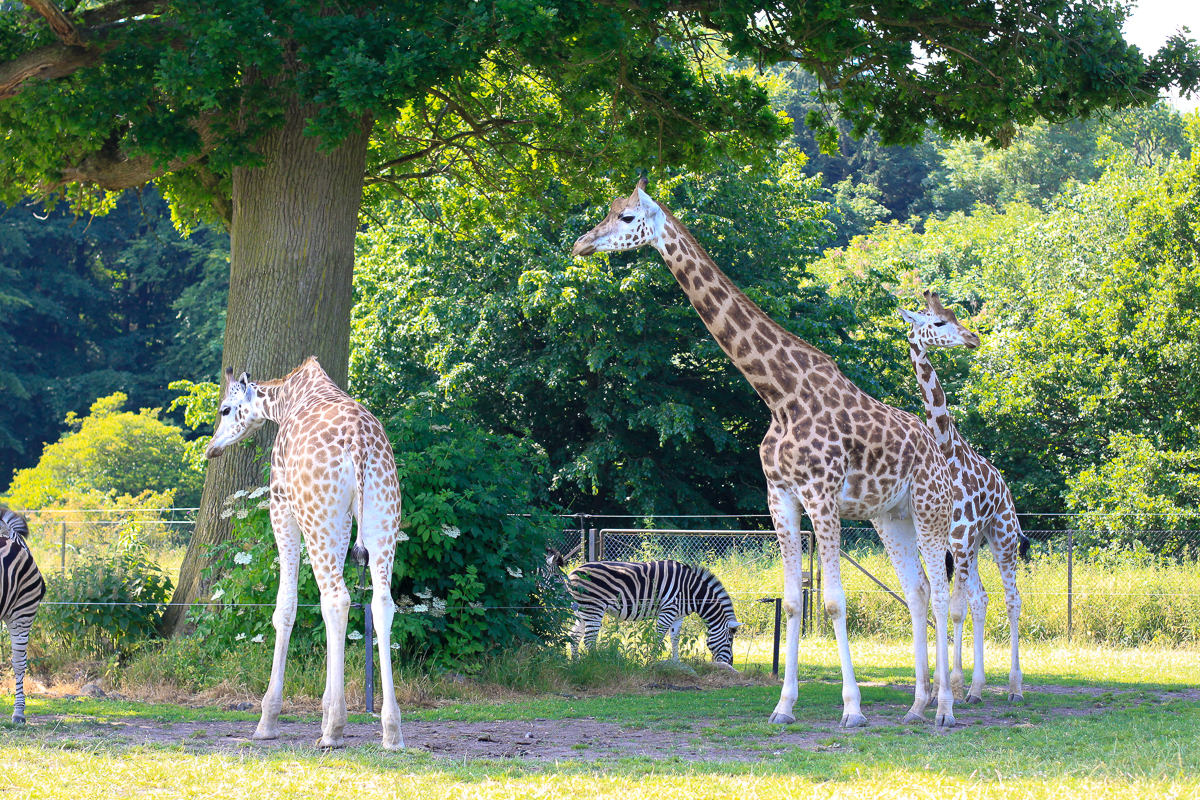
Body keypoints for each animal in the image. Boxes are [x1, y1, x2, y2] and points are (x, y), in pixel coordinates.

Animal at [206, 357, 408, 753]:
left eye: (225, 409)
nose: (212, 448)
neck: (286, 397)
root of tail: (359, 444)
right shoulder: (341, 523)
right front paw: (326, 709)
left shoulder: (280, 505)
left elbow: (285, 607)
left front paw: (268, 720)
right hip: (379, 516)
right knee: (379, 602)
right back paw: (391, 731)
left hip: (318, 517)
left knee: (338, 598)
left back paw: (334, 731)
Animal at [552, 556, 739, 671]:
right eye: (730, 640)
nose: (730, 664)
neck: (691, 591)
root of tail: (572, 573)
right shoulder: (667, 610)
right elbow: (659, 638)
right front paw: (651, 662)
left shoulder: (678, 616)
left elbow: (675, 639)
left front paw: (676, 663)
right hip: (593, 608)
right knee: (589, 640)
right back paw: (595, 664)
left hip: (581, 610)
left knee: (574, 636)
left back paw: (576, 665)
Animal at [571, 178, 974, 729]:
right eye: (609, 211)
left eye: (628, 217)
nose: (582, 244)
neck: (779, 394)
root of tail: (939, 449)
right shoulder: (779, 496)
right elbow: (793, 602)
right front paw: (783, 706)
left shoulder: (822, 496)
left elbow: (832, 603)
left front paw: (852, 710)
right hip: (892, 517)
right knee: (916, 594)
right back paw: (916, 705)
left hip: (932, 511)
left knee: (940, 594)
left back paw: (946, 710)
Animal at [902, 291, 1032, 705]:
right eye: (938, 322)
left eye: (956, 316)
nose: (973, 338)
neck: (948, 450)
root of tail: (1005, 488)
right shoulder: (941, 539)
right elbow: (942, 601)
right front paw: (942, 687)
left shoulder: (961, 535)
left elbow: (954, 607)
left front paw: (952, 685)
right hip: (973, 546)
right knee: (981, 598)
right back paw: (976, 688)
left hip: (1000, 536)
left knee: (1011, 599)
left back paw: (1013, 687)